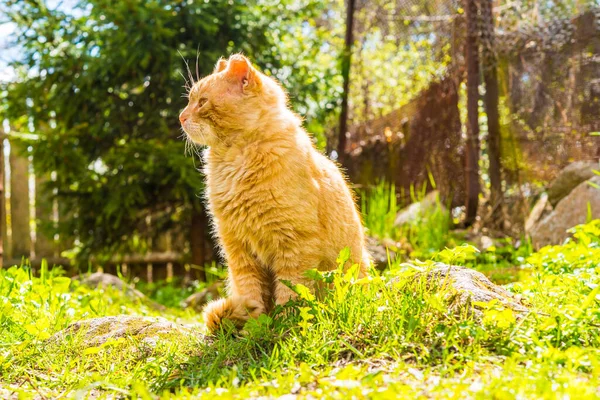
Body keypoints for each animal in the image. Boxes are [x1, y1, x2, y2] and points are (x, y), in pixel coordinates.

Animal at [178, 54, 370, 332]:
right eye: (189, 101)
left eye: (202, 102)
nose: (180, 117)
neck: (235, 162)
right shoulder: (238, 248)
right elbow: (250, 292)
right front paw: (253, 324)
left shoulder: (294, 245)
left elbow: (289, 293)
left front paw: (281, 325)